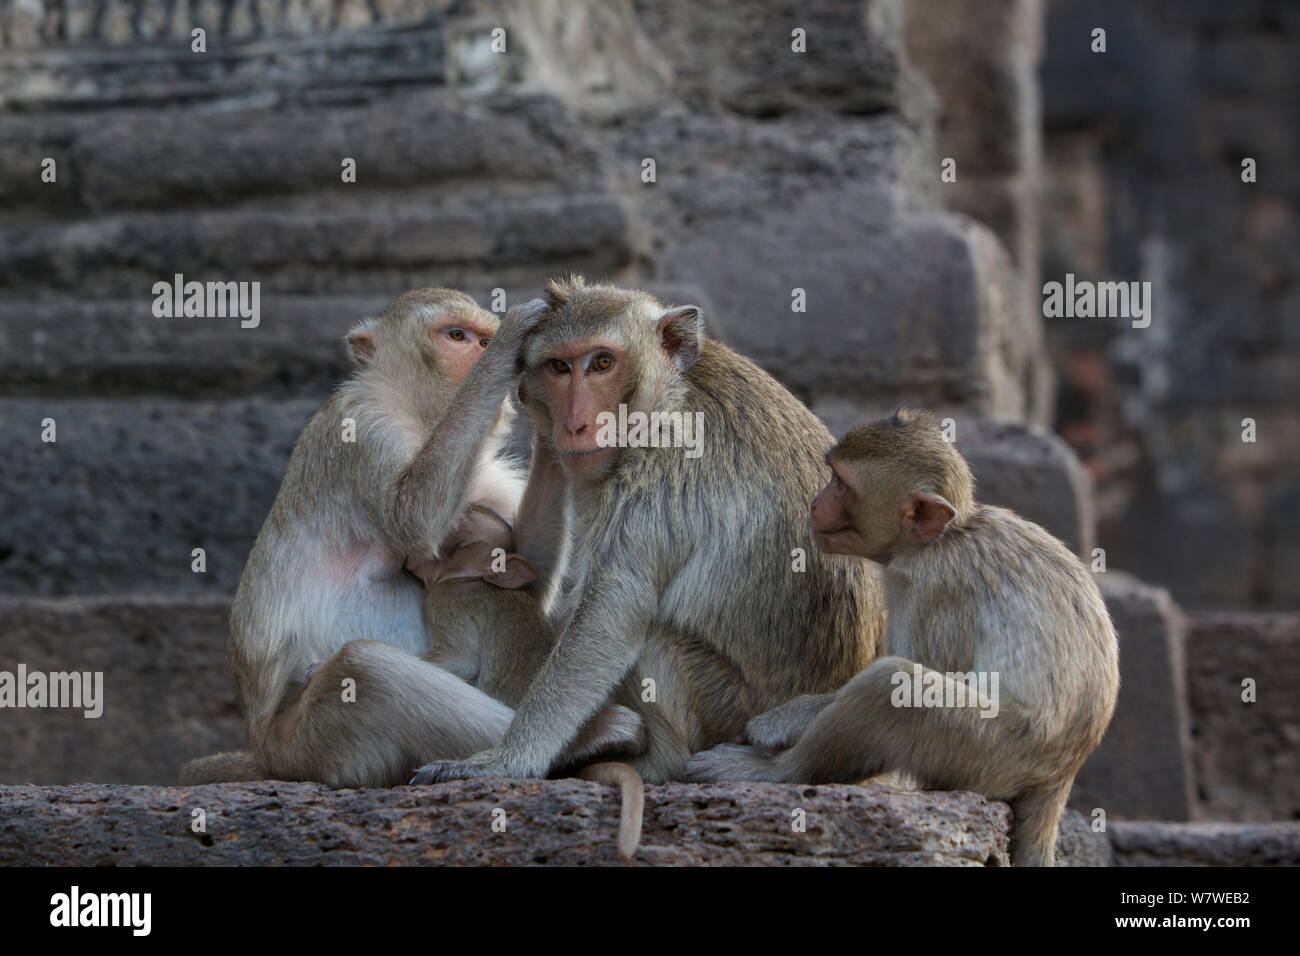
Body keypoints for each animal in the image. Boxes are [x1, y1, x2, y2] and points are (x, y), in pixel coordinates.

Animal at [408, 278, 883, 790]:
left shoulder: (660, 473)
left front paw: (505, 760)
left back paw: (658, 763)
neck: (667, 398)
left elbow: (612, 612)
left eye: (602, 363)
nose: (574, 423)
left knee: (653, 638)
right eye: (559, 367)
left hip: (728, 712)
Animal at [686, 408, 1123, 868]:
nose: (815, 503)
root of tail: (1060, 775)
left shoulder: (932, 587)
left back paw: (777, 772)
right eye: (832, 476)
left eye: (840, 483)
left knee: (893, 686)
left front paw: (782, 726)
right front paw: (794, 713)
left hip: (997, 751)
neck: (947, 536)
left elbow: (923, 671)